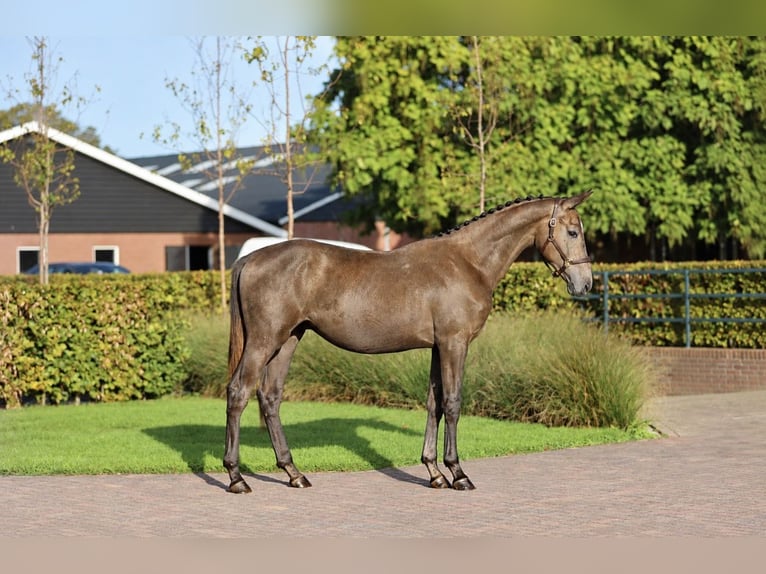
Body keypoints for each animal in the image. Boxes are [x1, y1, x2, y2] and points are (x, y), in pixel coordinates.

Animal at [223, 191, 594, 493]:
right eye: (573, 232)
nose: (586, 284)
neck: (468, 261)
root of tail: (248, 260)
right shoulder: (454, 343)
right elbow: (453, 403)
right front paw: (458, 474)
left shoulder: (437, 347)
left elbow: (434, 403)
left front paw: (435, 473)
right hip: (264, 341)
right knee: (238, 392)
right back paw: (236, 477)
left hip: (288, 340)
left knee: (270, 397)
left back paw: (293, 473)